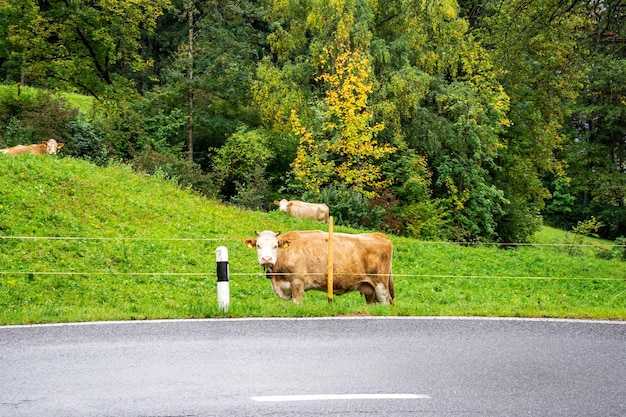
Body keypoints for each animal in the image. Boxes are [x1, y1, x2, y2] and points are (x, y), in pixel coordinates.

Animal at [243, 229, 392, 304]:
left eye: (275, 246)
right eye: (258, 245)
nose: (266, 259)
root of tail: (379, 235)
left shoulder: (297, 283)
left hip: (381, 284)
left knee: (387, 301)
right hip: (370, 289)